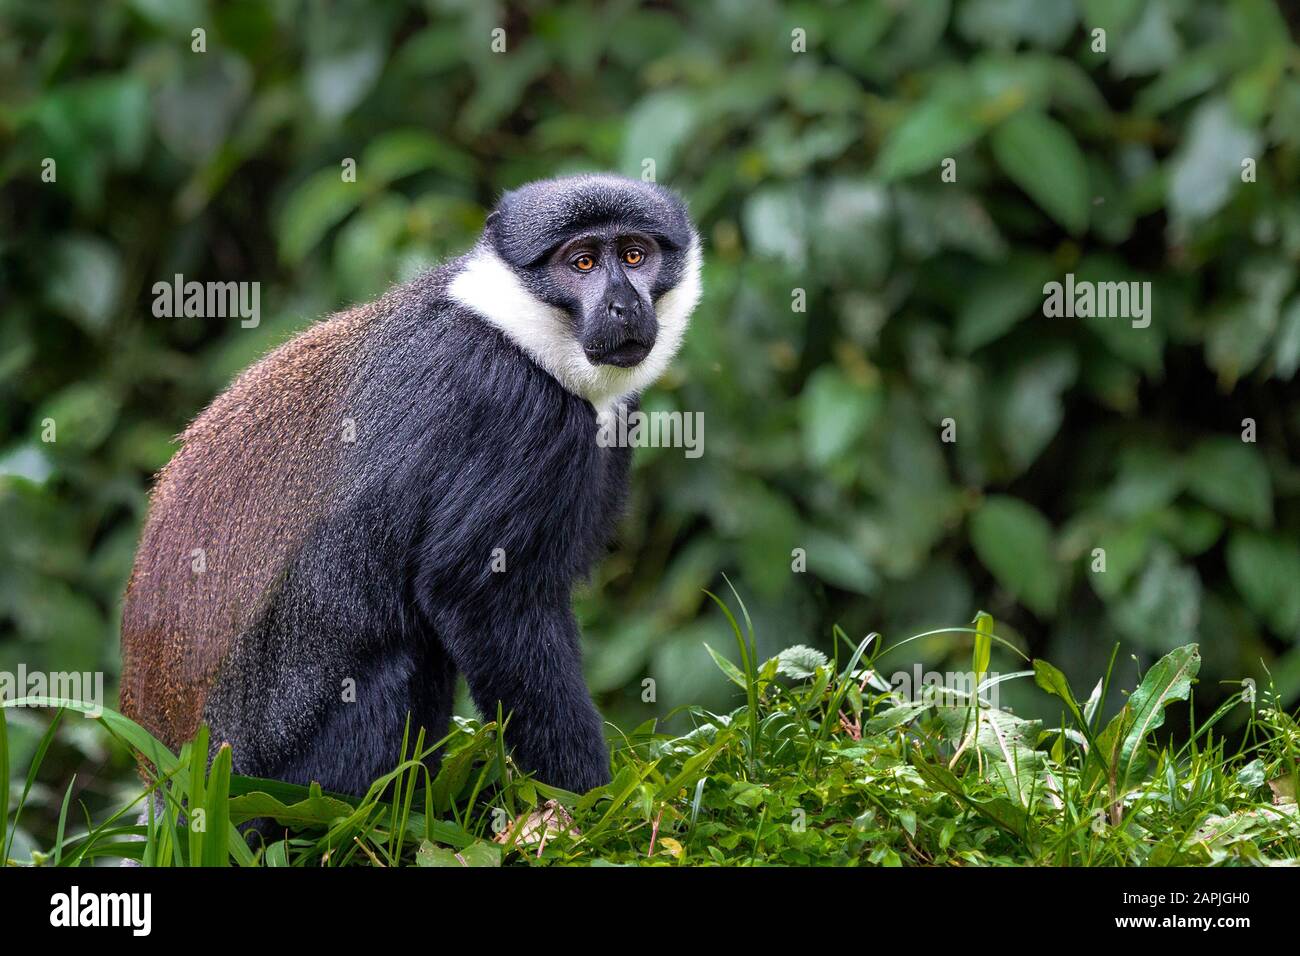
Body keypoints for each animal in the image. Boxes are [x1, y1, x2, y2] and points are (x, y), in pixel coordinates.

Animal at [122, 174, 702, 801]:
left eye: (635, 256)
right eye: (583, 262)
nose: (624, 305)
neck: (515, 328)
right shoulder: (518, 411)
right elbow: (481, 597)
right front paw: (585, 798)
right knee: (408, 660)